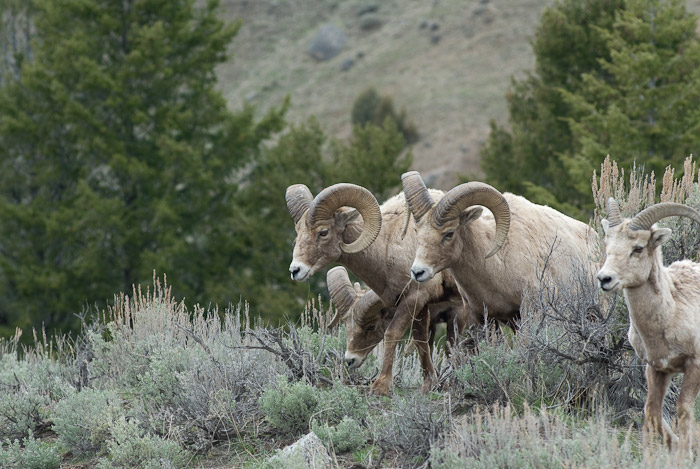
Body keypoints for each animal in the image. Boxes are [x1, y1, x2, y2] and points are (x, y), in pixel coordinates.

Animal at [284, 183, 470, 394]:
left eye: (323, 232)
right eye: (298, 232)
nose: (295, 270)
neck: (388, 245)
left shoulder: (414, 299)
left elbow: (392, 334)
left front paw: (381, 386)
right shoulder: (420, 305)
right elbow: (421, 340)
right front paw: (429, 384)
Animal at [596, 197, 700, 446]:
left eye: (638, 248)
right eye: (607, 244)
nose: (604, 279)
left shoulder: (695, 365)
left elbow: (683, 410)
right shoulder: (656, 369)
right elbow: (652, 412)